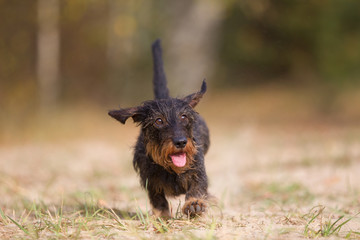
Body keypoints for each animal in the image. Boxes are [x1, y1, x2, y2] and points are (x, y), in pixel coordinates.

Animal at [109, 39, 211, 218]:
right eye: (158, 121)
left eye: (184, 117)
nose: (181, 142)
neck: (172, 169)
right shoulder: (150, 181)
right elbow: (158, 200)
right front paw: (163, 217)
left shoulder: (197, 170)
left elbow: (198, 187)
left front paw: (195, 204)